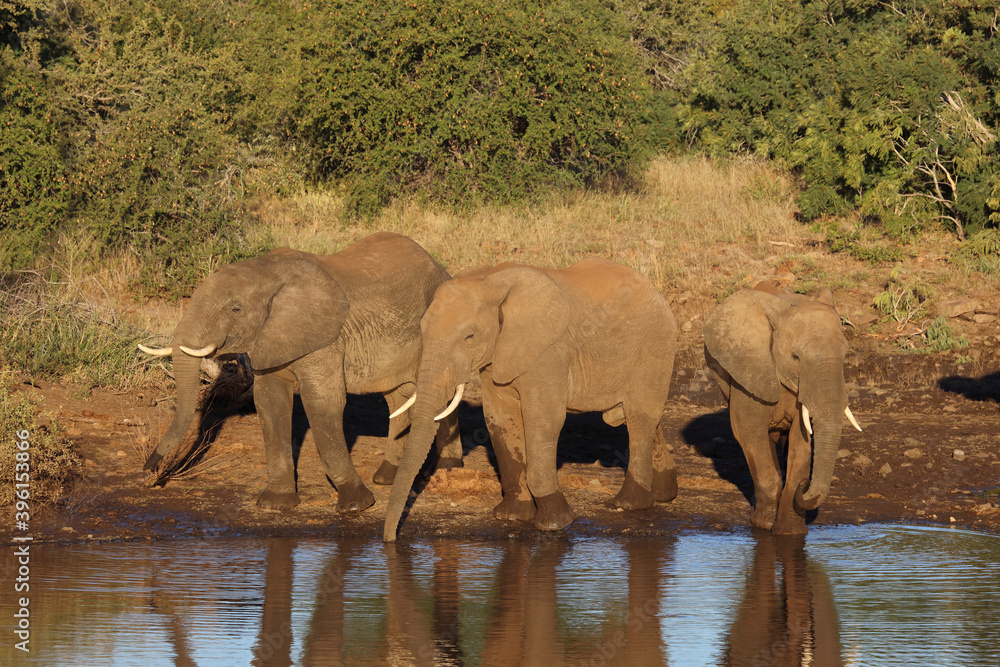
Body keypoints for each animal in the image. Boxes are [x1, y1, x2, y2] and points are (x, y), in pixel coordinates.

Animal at [137, 232, 463, 512]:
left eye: (235, 309)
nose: (149, 470)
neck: (266, 271)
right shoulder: (270, 337)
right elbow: (270, 402)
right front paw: (276, 505)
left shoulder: (325, 337)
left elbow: (322, 402)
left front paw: (355, 505)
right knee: (396, 398)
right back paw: (387, 477)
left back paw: (446, 471)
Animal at [383, 258, 679, 541]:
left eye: (470, 336)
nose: (390, 540)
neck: (490, 281)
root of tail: (657, 292)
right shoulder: (497, 356)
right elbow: (500, 419)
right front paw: (512, 516)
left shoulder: (549, 350)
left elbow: (543, 421)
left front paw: (554, 523)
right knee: (641, 418)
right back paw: (665, 494)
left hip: (655, 344)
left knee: (639, 417)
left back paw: (630, 504)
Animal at [703, 283, 862, 534]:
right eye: (795, 357)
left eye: (845, 356)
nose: (806, 485)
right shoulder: (749, 374)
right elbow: (748, 432)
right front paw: (763, 524)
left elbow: (801, 439)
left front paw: (790, 532)